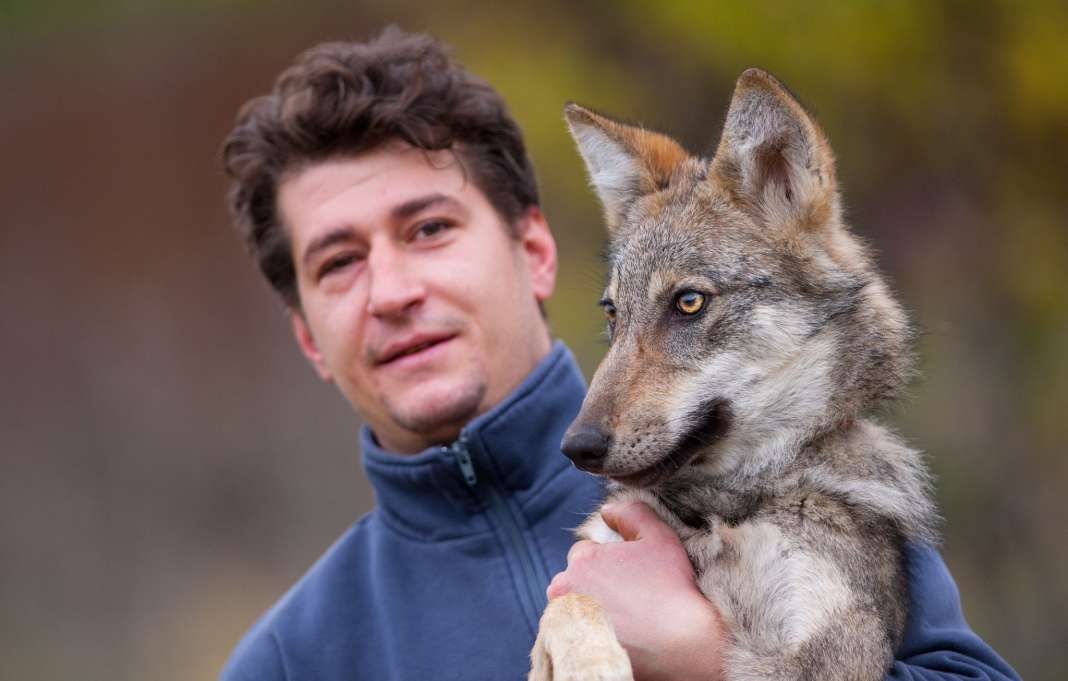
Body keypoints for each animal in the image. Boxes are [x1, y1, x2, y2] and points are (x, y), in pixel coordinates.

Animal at [528, 68, 939, 681]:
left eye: (689, 302)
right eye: (613, 313)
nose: (577, 446)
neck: (721, 507)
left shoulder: (830, 654)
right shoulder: (585, 570)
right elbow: (566, 604)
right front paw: (591, 663)